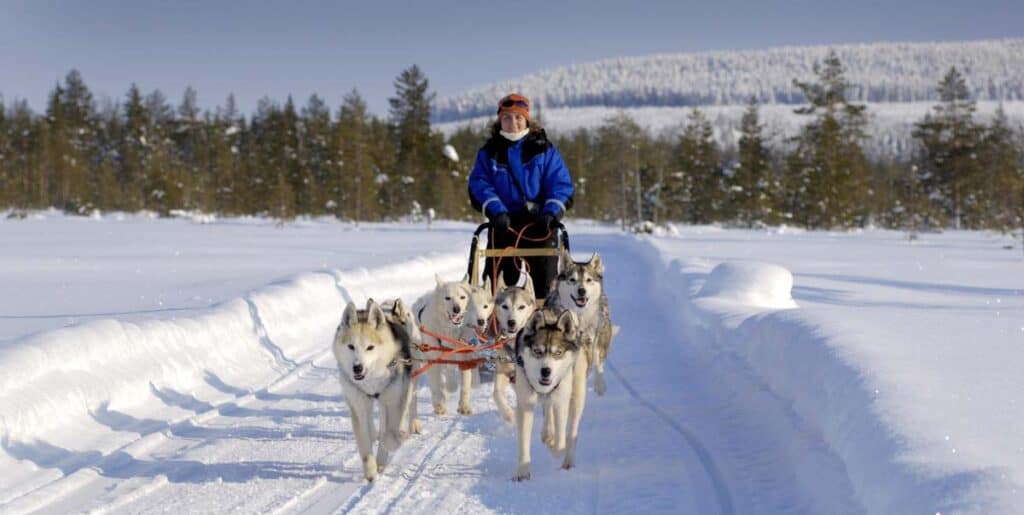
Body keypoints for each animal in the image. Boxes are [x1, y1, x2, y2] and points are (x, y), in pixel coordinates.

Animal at [335, 298, 415, 483]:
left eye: (370, 347)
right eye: (351, 346)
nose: (357, 367)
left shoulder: (393, 399)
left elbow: (389, 436)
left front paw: (394, 442)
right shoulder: (359, 404)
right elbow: (365, 443)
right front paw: (370, 471)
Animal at [409, 276, 468, 425]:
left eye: (462, 297)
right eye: (447, 298)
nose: (457, 309)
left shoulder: (464, 355)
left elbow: (463, 384)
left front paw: (464, 406)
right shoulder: (433, 359)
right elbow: (437, 385)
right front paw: (440, 405)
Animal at [491, 274, 540, 423]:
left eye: (521, 307)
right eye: (505, 306)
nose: (511, 322)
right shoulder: (503, 370)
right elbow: (496, 393)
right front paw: (508, 414)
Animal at [512, 309, 585, 481]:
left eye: (558, 353)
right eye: (537, 351)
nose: (546, 371)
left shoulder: (561, 402)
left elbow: (560, 443)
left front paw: (555, 448)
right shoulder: (525, 405)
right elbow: (524, 442)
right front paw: (522, 472)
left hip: (577, 396)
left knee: (572, 433)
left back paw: (567, 460)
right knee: (547, 410)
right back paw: (547, 434)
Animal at [544, 248, 614, 395]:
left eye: (588, 280)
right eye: (572, 280)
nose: (582, 290)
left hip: (601, 337)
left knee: (599, 361)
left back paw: (599, 385)